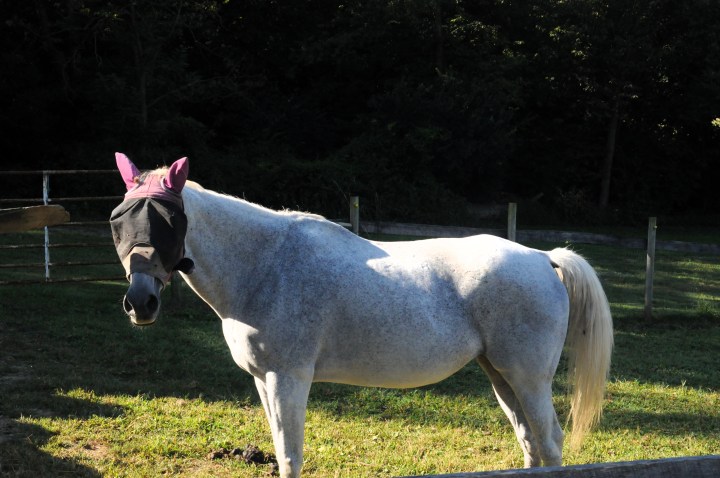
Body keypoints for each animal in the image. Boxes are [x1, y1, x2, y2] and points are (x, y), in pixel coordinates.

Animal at [109, 153, 613, 478]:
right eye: (118, 220)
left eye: (167, 220)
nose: (140, 302)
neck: (265, 263)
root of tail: (542, 257)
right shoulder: (264, 380)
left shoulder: (288, 378)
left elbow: (290, 458)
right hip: (502, 376)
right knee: (531, 443)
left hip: (528, 378)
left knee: (549, 443)